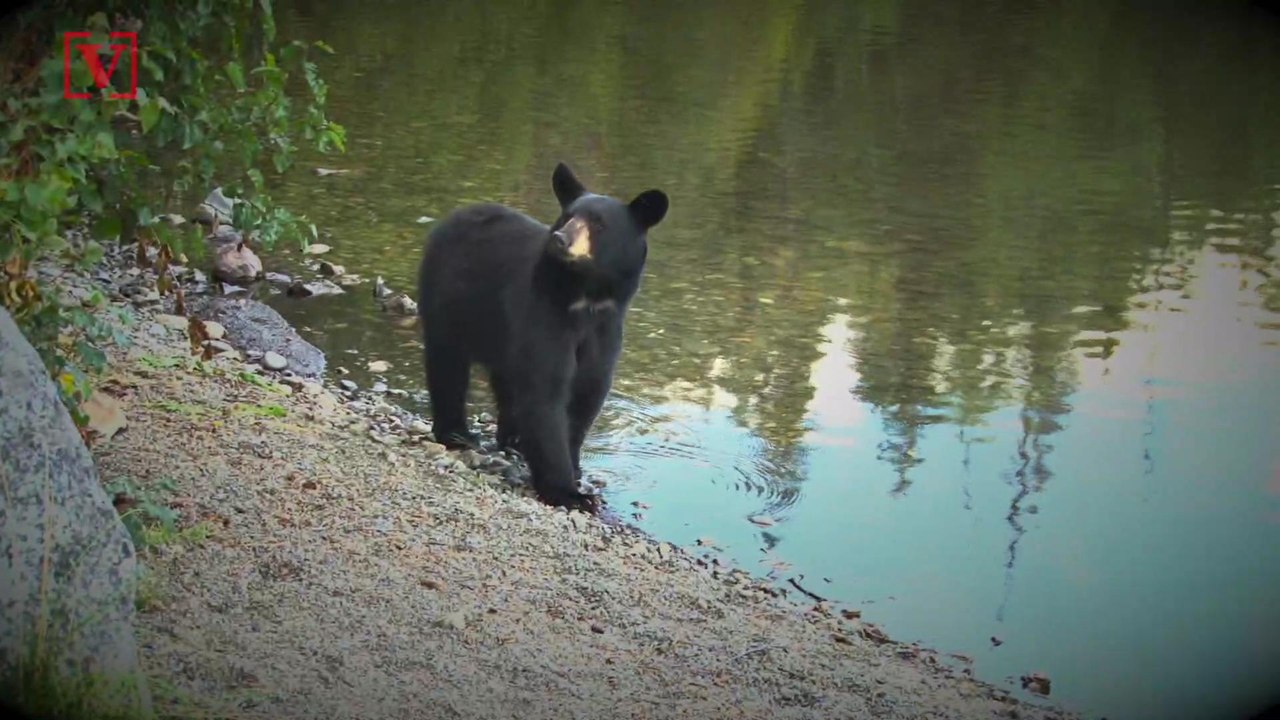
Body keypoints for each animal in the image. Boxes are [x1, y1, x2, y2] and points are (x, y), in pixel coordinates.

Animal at [417, 162, 669, 512]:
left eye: (599, 224)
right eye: (568, 216)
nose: (561, 239)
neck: (585, 299)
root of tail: (455, 214)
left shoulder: (606, 330)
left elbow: (587, 392)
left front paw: (575, 468)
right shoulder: (544, 314)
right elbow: (545, 392)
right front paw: (570, 493)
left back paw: (512, 439)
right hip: (448, 301)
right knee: (448, 364)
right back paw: (457, 434)